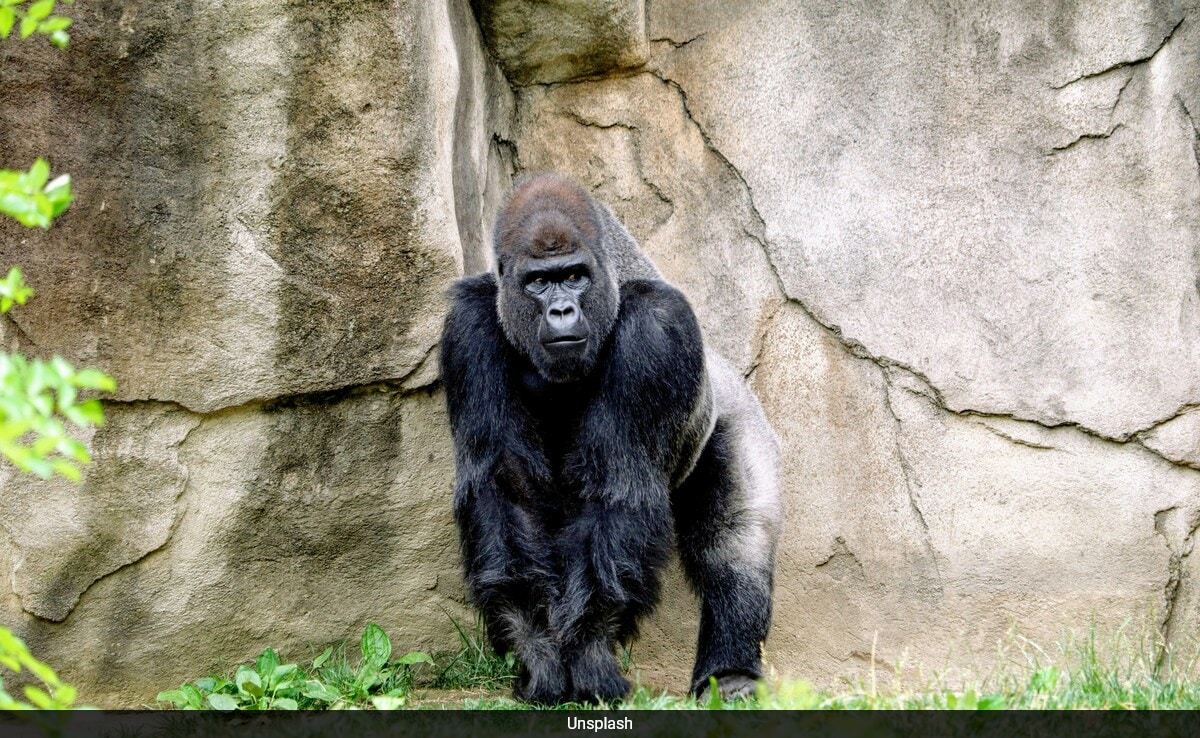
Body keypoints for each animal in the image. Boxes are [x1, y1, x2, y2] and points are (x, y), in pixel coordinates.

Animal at [436, 172, 782, 705]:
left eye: (575, 276)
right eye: (539, 282)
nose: (561, 310)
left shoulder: (658, 331)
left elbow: (618, 492)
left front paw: (590, 654)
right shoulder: (467, 328)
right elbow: (506, 492)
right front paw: (539, 654)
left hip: (736, 415)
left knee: (734, 540)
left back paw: (731, 673)